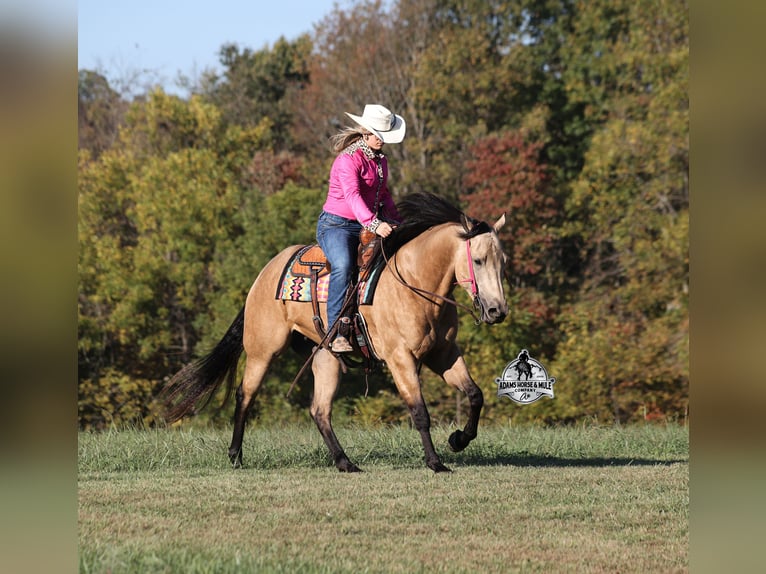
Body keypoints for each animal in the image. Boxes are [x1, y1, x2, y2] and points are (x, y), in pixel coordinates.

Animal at [162, 192, 509, 473]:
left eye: (502, 261)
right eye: (478, 260)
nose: (497, 311)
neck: (414, 282)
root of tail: (265, 273)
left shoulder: (443, 353)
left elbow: (475, 394)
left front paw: (458, 439)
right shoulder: (400, 358)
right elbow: (419, 412)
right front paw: (436, 462)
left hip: (325, 356)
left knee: (320, 410)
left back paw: (345, 462)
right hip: (263, 350)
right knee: (245, 395)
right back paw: (235, 455)